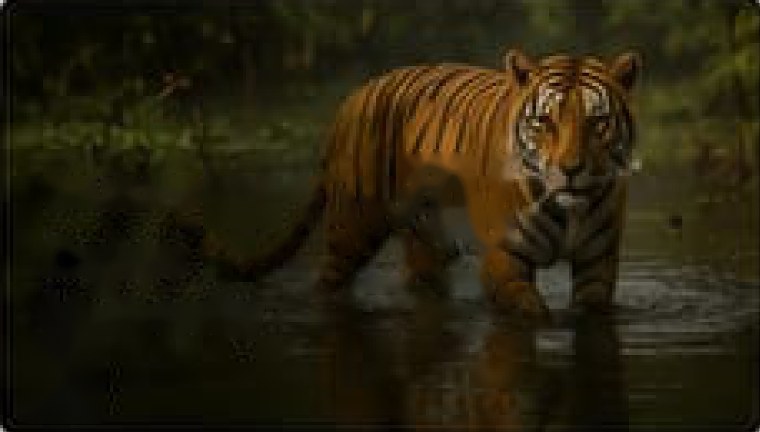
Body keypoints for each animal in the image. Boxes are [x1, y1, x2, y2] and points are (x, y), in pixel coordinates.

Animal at [183, 49, 641, 321]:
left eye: (598, 122)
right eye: (544, 122)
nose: (571, 169)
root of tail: (352, 97)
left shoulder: (598, 264)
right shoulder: (504, 258)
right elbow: (532, 312)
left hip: (426, 241)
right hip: (353, 227)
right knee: (327, 280)